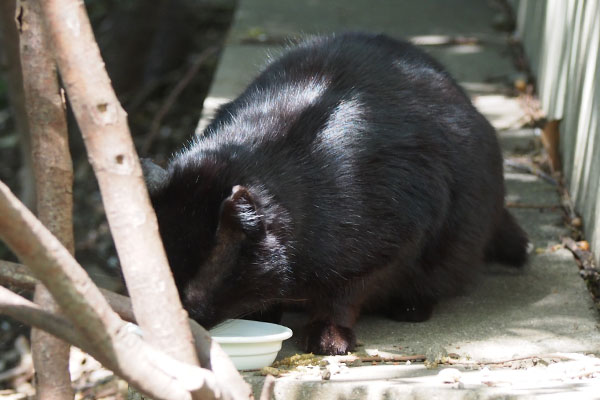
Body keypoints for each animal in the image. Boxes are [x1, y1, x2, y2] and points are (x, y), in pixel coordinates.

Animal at [143, 32, 528, 354]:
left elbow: (345, 295)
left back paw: (412, 306)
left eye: (191, 295)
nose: (174, 323)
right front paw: (267, 312)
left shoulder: (397, 241)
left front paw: (328, 333)